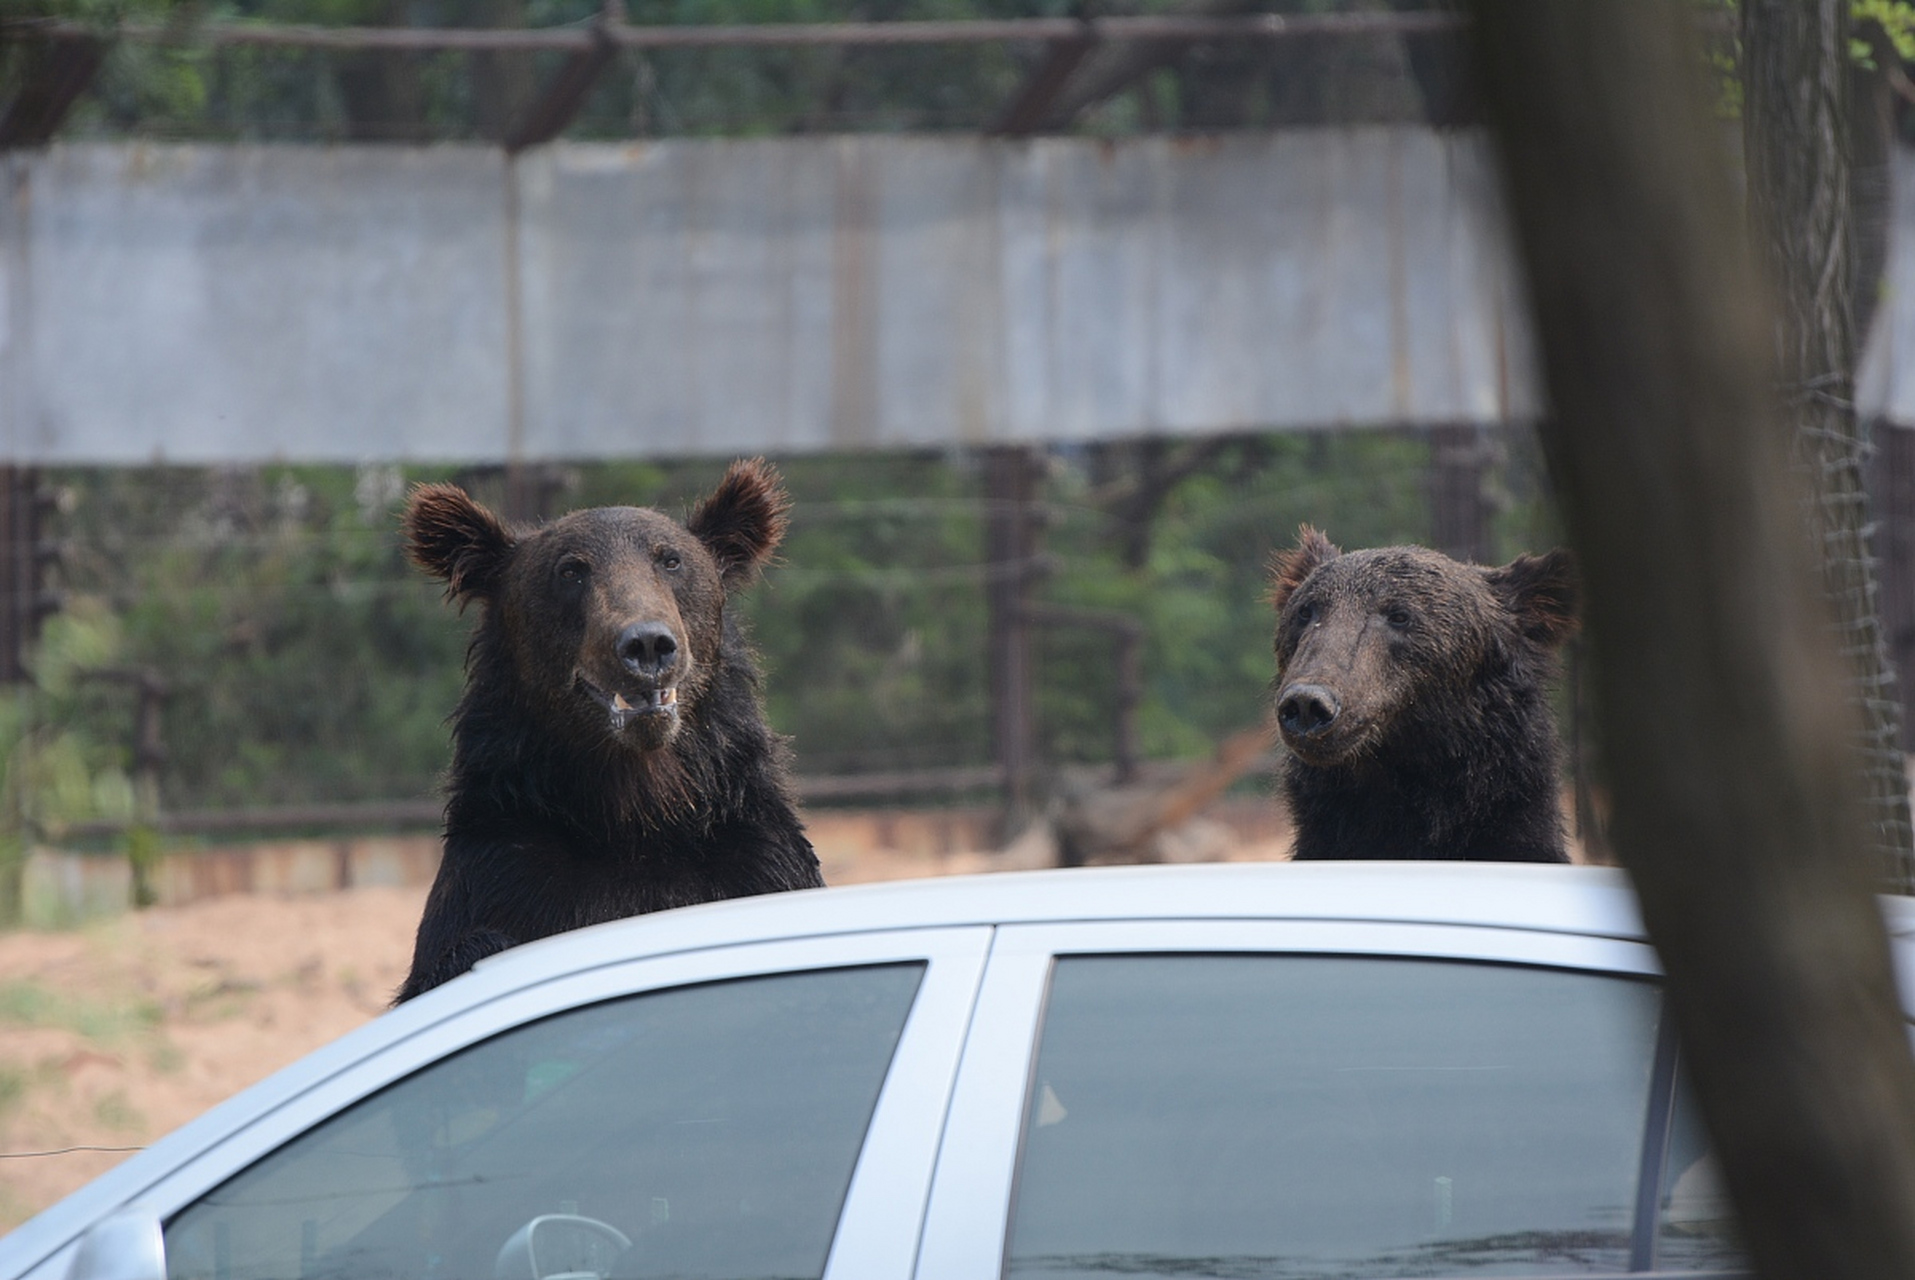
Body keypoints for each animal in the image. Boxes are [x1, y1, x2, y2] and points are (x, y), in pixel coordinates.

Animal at [400, 459, 819, 996]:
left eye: (671, 560)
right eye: (570, 570)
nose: (647, 644)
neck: (636, 812)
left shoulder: (755, 861)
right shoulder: (504, 870)